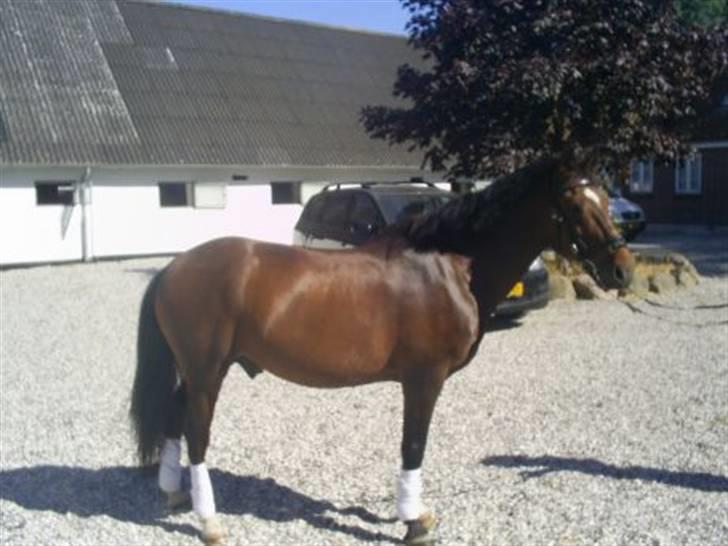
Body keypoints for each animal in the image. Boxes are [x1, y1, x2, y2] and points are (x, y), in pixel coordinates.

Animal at [130, 157, 635, 545]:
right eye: (574, 204)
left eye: (606, 198)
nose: (622, 270)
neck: (448, 266)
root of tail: (174, 267)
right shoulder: (424, 379)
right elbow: (413, 445)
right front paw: (415, 521)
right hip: (207, 373)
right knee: (196, 434)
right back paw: (210, 523)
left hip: (195, 373)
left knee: (173, 422)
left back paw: (174, 494)